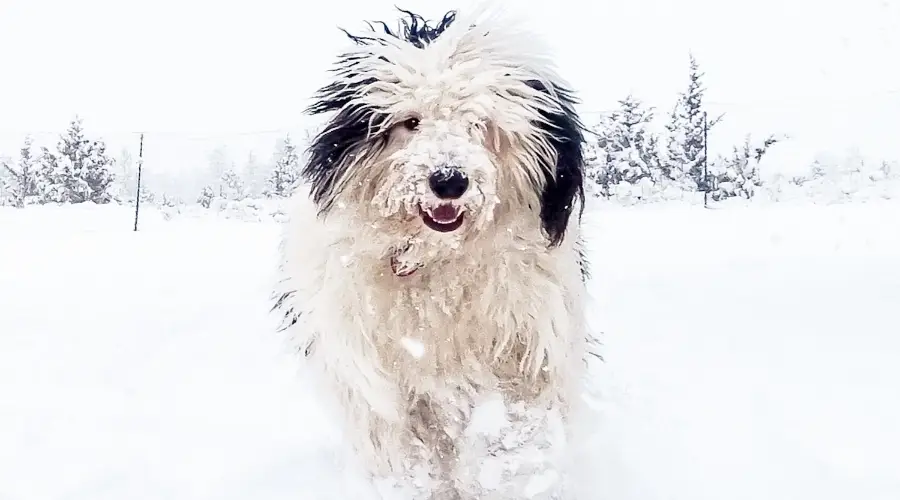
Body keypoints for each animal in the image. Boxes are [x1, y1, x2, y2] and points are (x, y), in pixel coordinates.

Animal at [274, 7, 596, 500]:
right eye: (411, 122)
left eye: (480, 124)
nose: (449, 180)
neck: (439, 264)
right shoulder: (369, 367)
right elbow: (399, 442)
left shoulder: (531, 332)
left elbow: (522, 416)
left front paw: (512, 470)